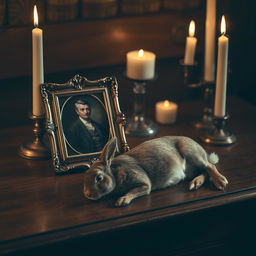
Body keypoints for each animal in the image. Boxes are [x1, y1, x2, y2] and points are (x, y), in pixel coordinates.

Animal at [83, 136, 228, 206]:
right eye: (85, 178)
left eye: (99, 178)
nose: (88, 195)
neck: (114, 174)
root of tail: (203, 151)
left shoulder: (144, 184)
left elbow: (134, 191)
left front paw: (122, 201)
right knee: (204, 172)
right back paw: (195, 183)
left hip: (191, 153)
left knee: (210, 166)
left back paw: (221, 182)